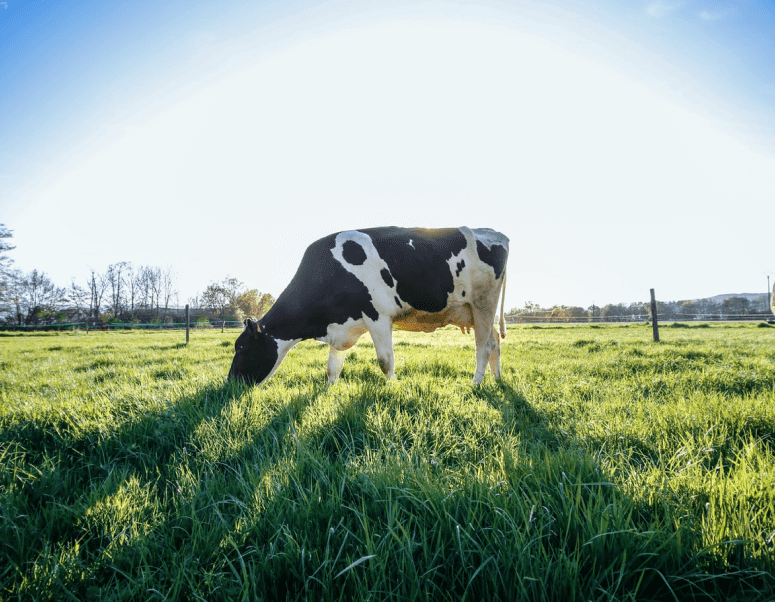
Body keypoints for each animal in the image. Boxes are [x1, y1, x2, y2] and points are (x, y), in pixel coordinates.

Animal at [228, 226, 509, 386]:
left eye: (240, 347)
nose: (230, 383)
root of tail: (494, 232)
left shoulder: (378, 316)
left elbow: (385, 361)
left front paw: (392, 389)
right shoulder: (341, 325)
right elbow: (332, 367)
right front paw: (329, 391)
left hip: (483, 304)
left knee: (483, 347)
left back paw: (476, 384)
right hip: (476, 312)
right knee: (495, 342)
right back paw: (497, 379)